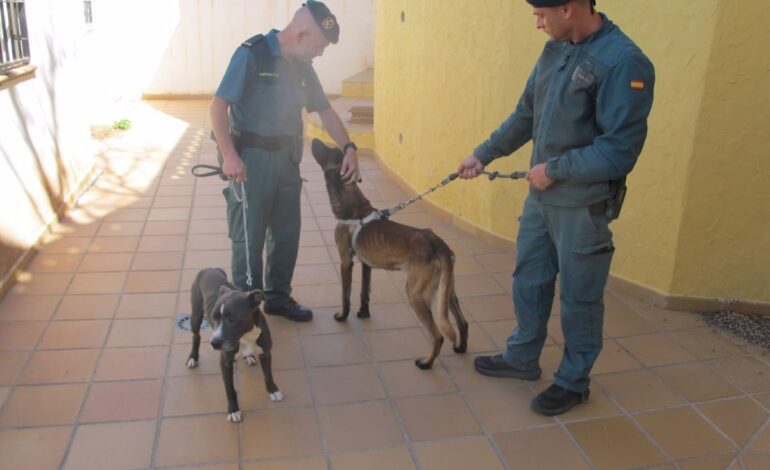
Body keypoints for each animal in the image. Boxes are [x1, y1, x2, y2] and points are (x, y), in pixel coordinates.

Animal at [310, 138, 468, 370]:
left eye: (327, 150)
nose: (313, 139)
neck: (352, 205)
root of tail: (437, 243)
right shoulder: (366, 264)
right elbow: (364, 293)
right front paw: (363, 313)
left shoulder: (345, 262)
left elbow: (345, 295)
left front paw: (342, 315)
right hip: (446, 290)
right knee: (463, 322)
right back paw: (461, 348)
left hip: (416, 294)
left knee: (438, 336)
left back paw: (427, 363)